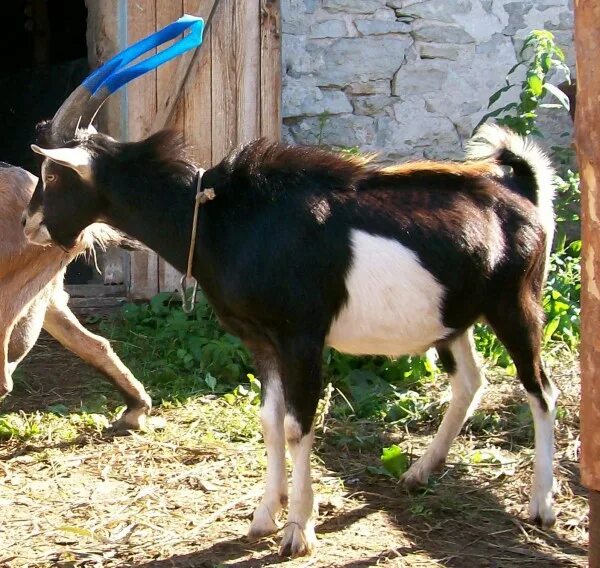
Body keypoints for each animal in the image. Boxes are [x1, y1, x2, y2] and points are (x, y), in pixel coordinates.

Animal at [24, 92, 556, 556]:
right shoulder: (260, 339)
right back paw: (420, 472)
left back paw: (541, 505)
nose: (29, 225)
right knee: (470, 381)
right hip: (454, 319)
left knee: (540, 391)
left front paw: (299, 529)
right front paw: (265, 515)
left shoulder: (302, 338)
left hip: (516, 304)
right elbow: (270, 421)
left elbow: (299, 426)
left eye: (52, 173)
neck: (222, 218)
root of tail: (520, 190)